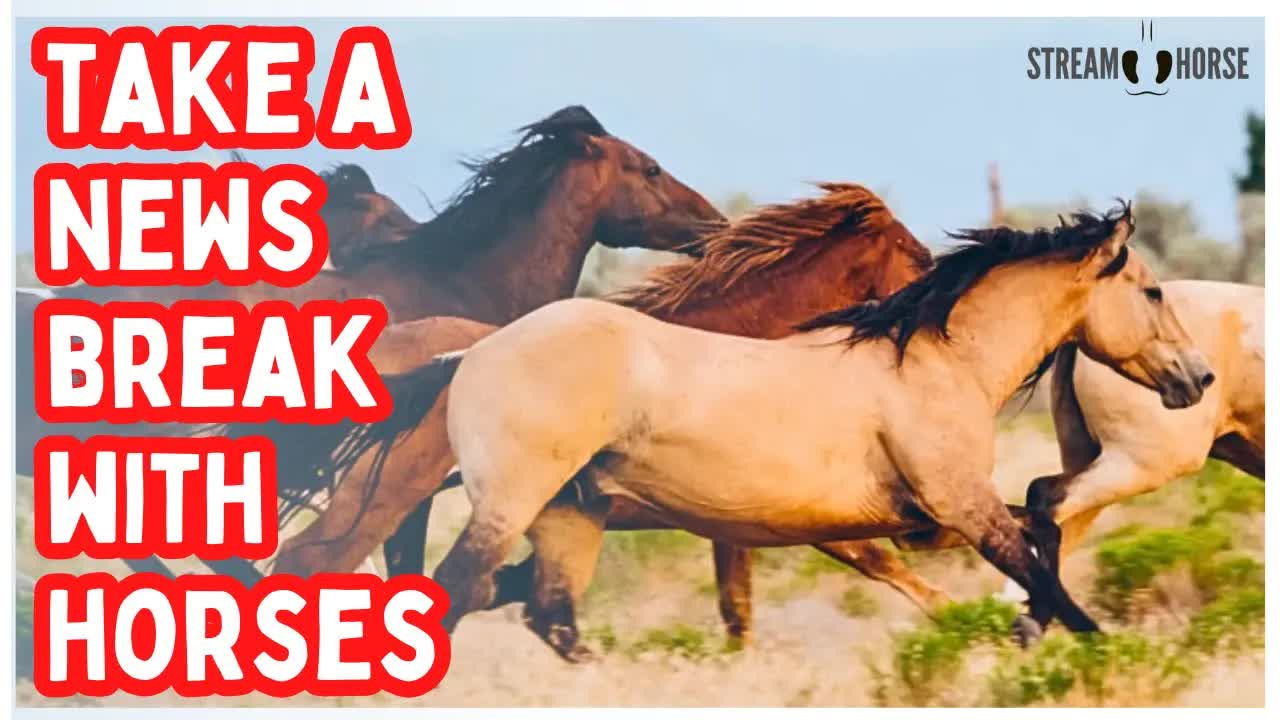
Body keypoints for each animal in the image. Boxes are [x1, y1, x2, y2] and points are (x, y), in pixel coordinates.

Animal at [413, 205, 1215, 661]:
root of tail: (471, 355)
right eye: (1152, 291)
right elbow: (1038, 565)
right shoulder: (959, 508)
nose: (1199, 377)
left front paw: (1022, 630)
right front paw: (1089, 649)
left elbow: (1041, 531)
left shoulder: (920, 525)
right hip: (513, 504)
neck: (938, 362)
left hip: (570, 514)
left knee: (548, 617)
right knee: (462, 589)